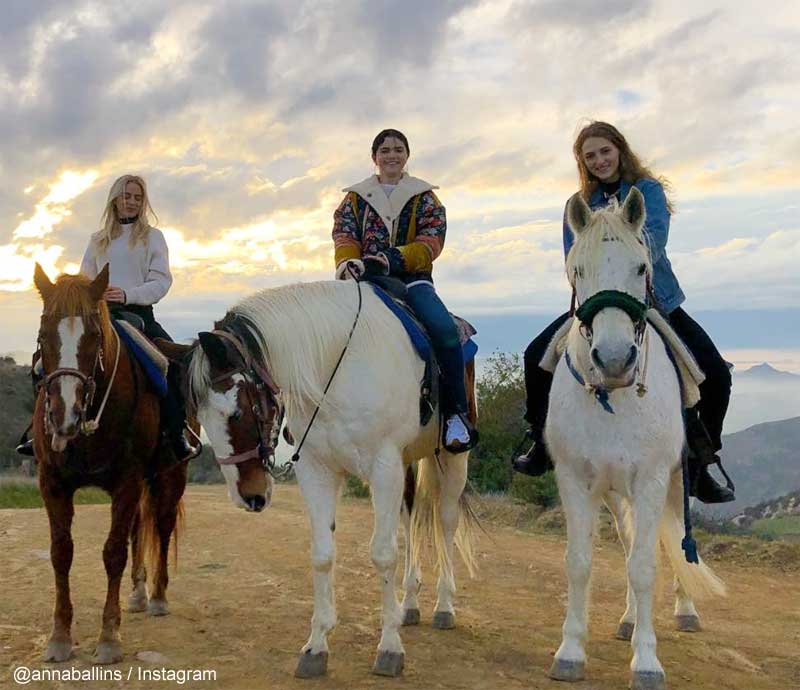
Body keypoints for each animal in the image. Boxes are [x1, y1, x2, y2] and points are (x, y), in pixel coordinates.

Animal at [32, 264, 188, 660]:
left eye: (94, 335)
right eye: (43, 334)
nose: (65, 415)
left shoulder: (127, 481)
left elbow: (113, 552)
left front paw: (108, 637)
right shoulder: (52, 482)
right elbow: (61, 553)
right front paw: (59, 636)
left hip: (170, 477)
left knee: (161, 527)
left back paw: (157, 596)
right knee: (138, 528)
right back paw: (137, 592)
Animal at [181, 280, 478, 676]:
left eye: (238, 412)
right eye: (199, 417)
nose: (249, 496)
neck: (337, 366)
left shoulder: (383, 466)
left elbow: (383, 554)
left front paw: (389, 647)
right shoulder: (317, 470)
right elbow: (322, 554)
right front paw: (316, 646)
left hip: (451, 458)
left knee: (445, 524)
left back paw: (444, 606)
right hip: (406, 465)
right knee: (411, 520)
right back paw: (410, 604)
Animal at [548, 188, 720, 688]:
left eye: (642, 267)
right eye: (577, 269)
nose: (613, 359)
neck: (614, 397)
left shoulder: (650, 481)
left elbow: (646, 566)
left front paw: (646, 662)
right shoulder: (576, 481)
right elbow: (580, 562)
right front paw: (570, 652)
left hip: (676, 483)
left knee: (677, 544)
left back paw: (685, 612)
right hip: (614, 492)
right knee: (627, 544)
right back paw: (626, 620)